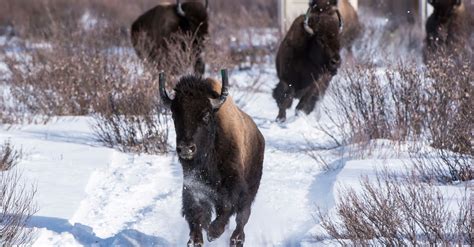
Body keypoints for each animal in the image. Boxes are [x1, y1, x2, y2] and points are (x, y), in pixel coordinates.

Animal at [160, 68, 264, 246]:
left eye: (206, 115)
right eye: (174, 115)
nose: (186, 148)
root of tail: (259, 136)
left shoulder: (232, 185)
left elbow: (227, 207)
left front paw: (213, 233)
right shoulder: (193, 185)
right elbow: (196, 211)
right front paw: (195, 240)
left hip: (251, 189)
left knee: (242, 217)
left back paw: (236, 239)